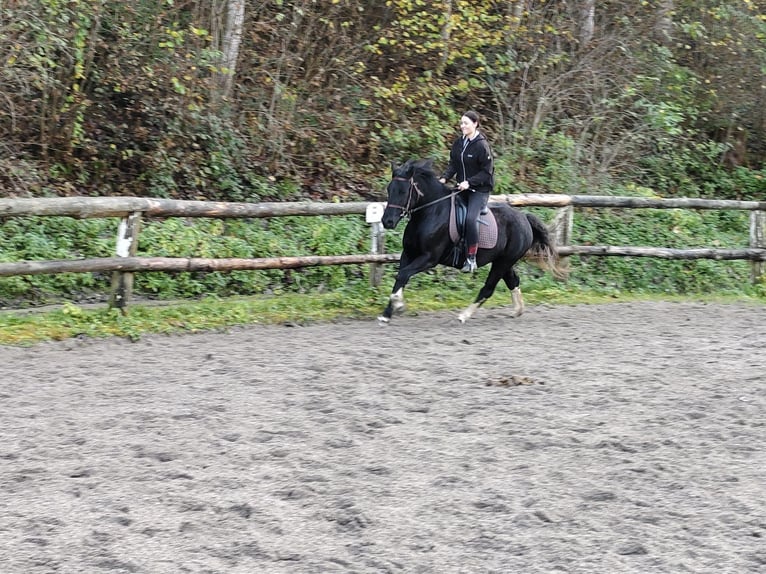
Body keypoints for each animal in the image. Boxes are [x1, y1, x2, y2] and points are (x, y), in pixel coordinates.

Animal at [380, 159, 568, 324]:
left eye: (403, 191)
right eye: (389, 189)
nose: (387, 221)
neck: (430, 213)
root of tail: (524, 218)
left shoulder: (429, 258)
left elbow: (403, 274)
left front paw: (398, 304)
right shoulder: (408, 254)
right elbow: (401, 276)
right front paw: (387, 314)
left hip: (503, 262)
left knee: (488, 288)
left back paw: (464, 316)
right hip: (504, 262)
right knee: (513, 281)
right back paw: (517, 311)